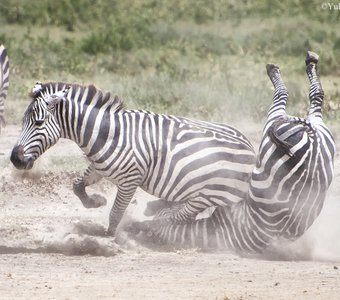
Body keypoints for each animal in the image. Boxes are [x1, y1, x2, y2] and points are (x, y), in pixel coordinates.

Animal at [9, 82, 255, 237]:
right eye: (22, 121)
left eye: (39, 122)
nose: (14, 159)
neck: (108, 133)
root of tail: (252, 151)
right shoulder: (98, 167)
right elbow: (77, 186)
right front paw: (96, 201)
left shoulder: (130, 180)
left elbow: (117, 212)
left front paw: (109, 237)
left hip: (209, 194)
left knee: (181, 215)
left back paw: (152, 222)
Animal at [131, 51, 336, 253]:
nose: (147, 207)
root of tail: (312, 139)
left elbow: (174, 216)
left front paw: (140, 225)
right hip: (322, 135)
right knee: (317, 96)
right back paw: (310, 61)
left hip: (270, 141)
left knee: (282, 97)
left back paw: (275, 69)